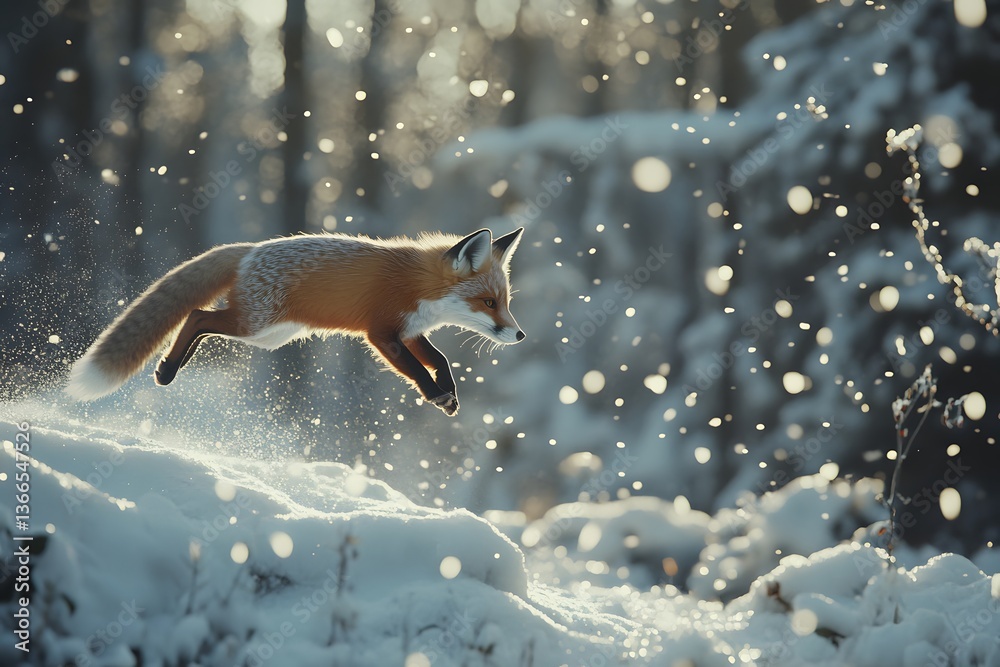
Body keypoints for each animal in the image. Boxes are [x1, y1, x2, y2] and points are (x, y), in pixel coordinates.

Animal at [66, 227, 525, 416]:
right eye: (488, 302)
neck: (418, 286)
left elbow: (440, 360)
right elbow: (416, 369)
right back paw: (166, 370)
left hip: (269, 337)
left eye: (504, 301)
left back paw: (169, 367)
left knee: (201, 321)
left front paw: (449, 393)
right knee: (197, 316)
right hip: (255, 325)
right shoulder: (381, 333)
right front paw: (435, 395)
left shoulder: (410, 331)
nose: (519, 334)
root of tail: (250, 248)